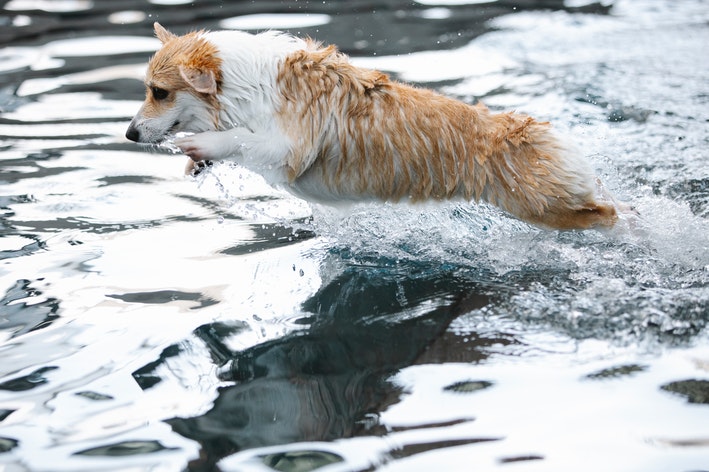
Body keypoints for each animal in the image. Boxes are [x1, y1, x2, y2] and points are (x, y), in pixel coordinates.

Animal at [126, 23, 620, 230]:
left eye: (159, 92)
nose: (129, 134)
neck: (244, 82)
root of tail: (536, 127)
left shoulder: (289, 148)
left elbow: (240, 140)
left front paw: (202, 144)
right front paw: (196, 162)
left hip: (546, 207)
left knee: (611, 215)